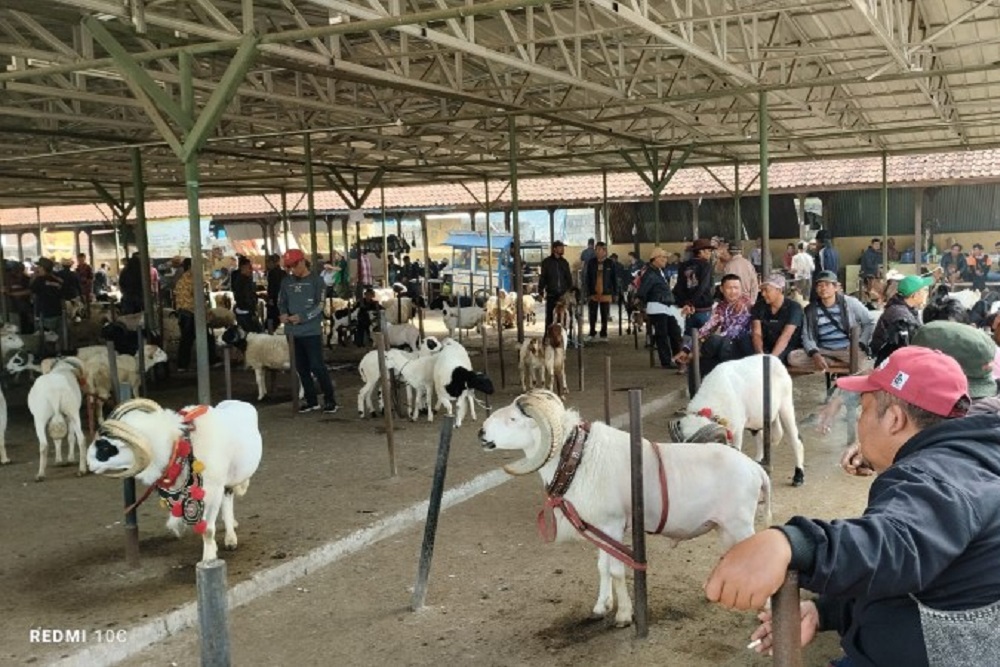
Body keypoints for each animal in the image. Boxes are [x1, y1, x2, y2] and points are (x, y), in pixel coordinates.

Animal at [86, 396, 264, 564]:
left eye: (105, 447)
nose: (88, 464)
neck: (180, 446)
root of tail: (237, 401)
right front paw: (181, 529)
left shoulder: (214, 491)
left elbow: (207, 530)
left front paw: (209, 558)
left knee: (228, 499)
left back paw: (231, 538)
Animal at [480, 388, 768, 628]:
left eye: (513, 419)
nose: (481, 434)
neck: (579, 458)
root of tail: (756, 470)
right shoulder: (598, 526)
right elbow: (602, 566)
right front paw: (601, 606)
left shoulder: (613, 524)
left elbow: (617, 570)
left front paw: (624, 615)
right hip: (724, 527)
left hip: (740, 524)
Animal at [668, 354, 808, 486]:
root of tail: (773, 358)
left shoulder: (737, 430)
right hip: (757, 420)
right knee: (761, 438)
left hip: (786, 406)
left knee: (796, 441)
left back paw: (798, 476)